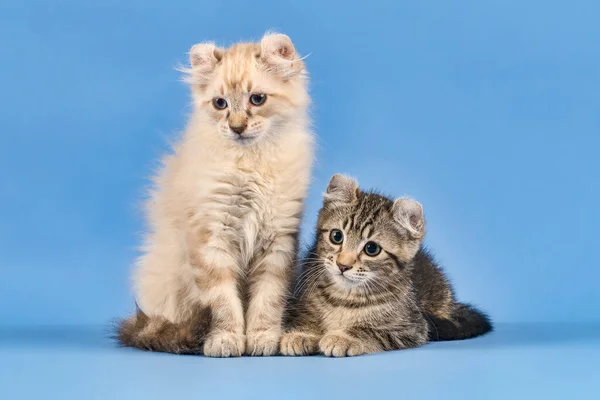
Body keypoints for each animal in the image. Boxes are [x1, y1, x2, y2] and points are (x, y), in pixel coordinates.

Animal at [116, 34, 314, 358]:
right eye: (220, 104)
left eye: (257, 99)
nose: (236, 127)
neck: (251, 165)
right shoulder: (212, 240)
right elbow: (223, 302)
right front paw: (226, 339)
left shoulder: (278, 241)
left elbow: (268, 299)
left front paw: (262, 337)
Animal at [278, 175, 490, 356]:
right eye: (336, 236)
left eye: (372, 248)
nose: (342, 265)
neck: (344, 296)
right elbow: (304, 318)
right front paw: (303, 333)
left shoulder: (413, 328)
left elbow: (371, 331)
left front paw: (343, 338)